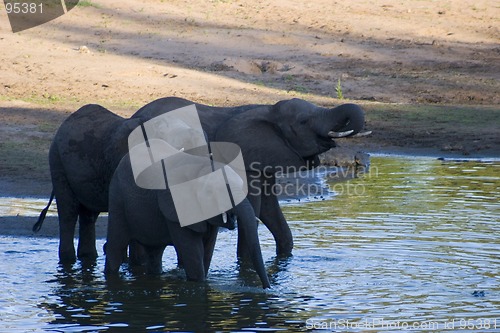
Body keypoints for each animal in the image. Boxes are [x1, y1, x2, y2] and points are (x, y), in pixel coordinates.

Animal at [34, 97, 368, 264]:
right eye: (303, 122)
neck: (265, 109)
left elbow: (267, 209)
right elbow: (256, 209)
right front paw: (245, 266)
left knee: (89, 215)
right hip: (58, 161)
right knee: (70, 212)